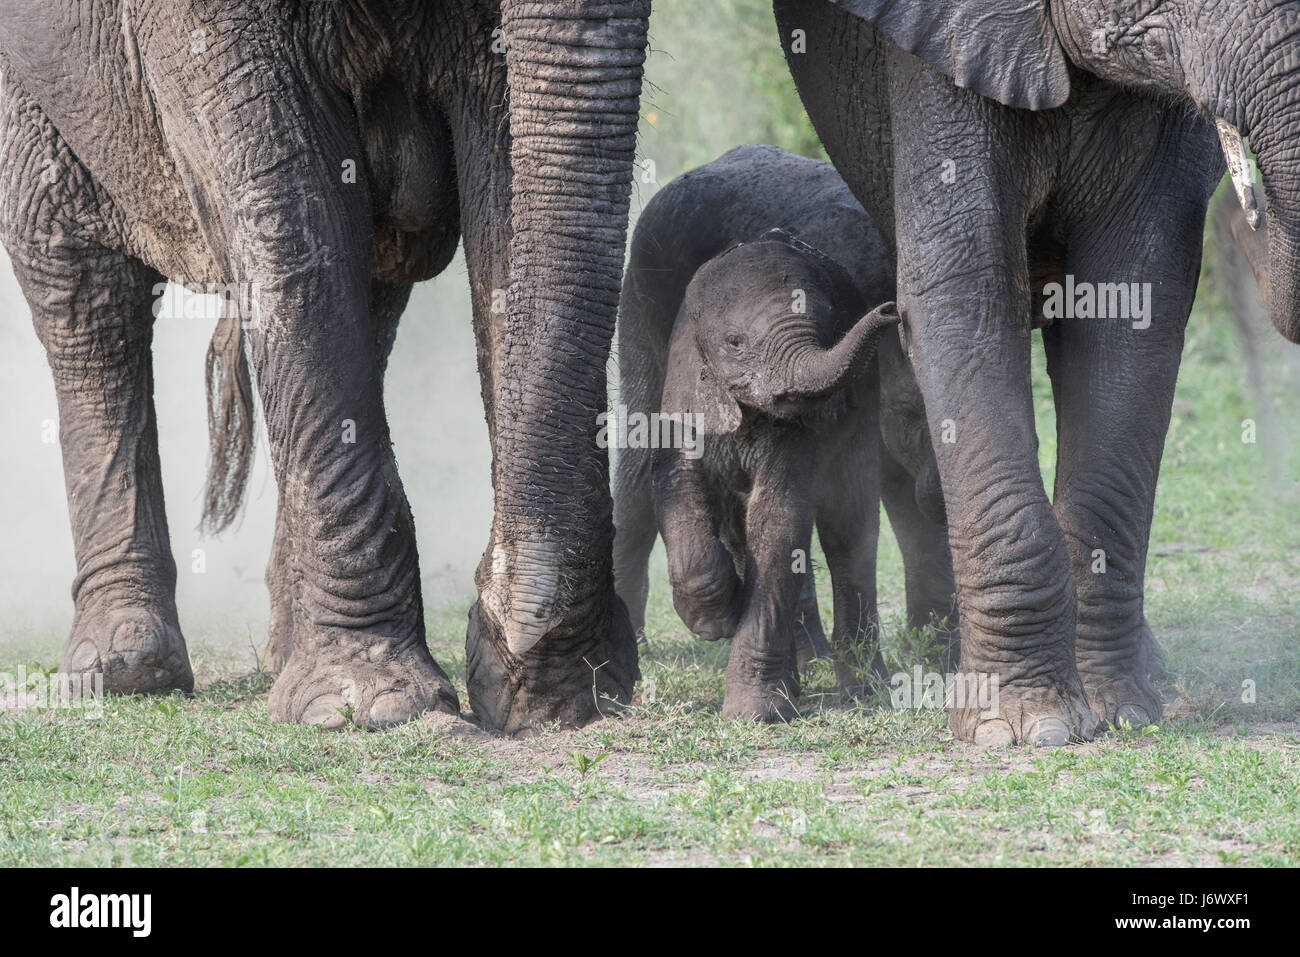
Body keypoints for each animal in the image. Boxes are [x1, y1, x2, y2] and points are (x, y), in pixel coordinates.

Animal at [0, 1, 650, 733]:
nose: (506, 622)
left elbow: (509, 157)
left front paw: (563, 691)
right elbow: (292, 209)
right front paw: (370, 705)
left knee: (373, 284)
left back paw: (281, 655)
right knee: (81, 285)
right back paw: (125, 668)